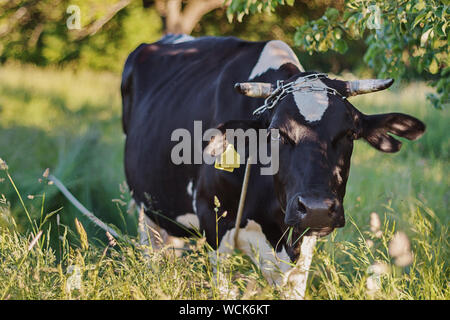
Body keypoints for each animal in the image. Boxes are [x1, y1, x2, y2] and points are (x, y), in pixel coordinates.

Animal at [120, 34, 426, 284]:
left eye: (350, 133)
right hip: (146, 211)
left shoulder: (302, 245)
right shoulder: (213, 223)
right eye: (276, 133)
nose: (316, 208)